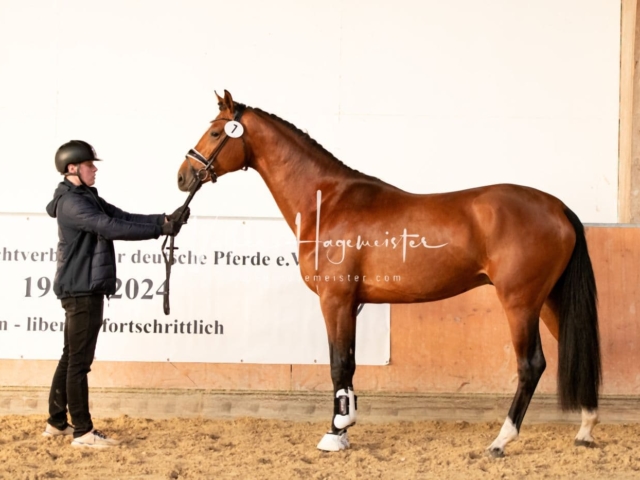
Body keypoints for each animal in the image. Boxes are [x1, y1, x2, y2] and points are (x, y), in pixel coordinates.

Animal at [176, 91, 600, 458]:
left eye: (215, 133)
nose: (183, 176)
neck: (328, 201)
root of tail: (556, 206)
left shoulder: (335, 300)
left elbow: (337, 365)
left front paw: (334, 433)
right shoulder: (352, 304)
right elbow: (348, 365)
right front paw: (343, 429)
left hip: (520, 302)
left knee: (531, 365)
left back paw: (501, 440)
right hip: (549, 300)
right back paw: (585, 429)